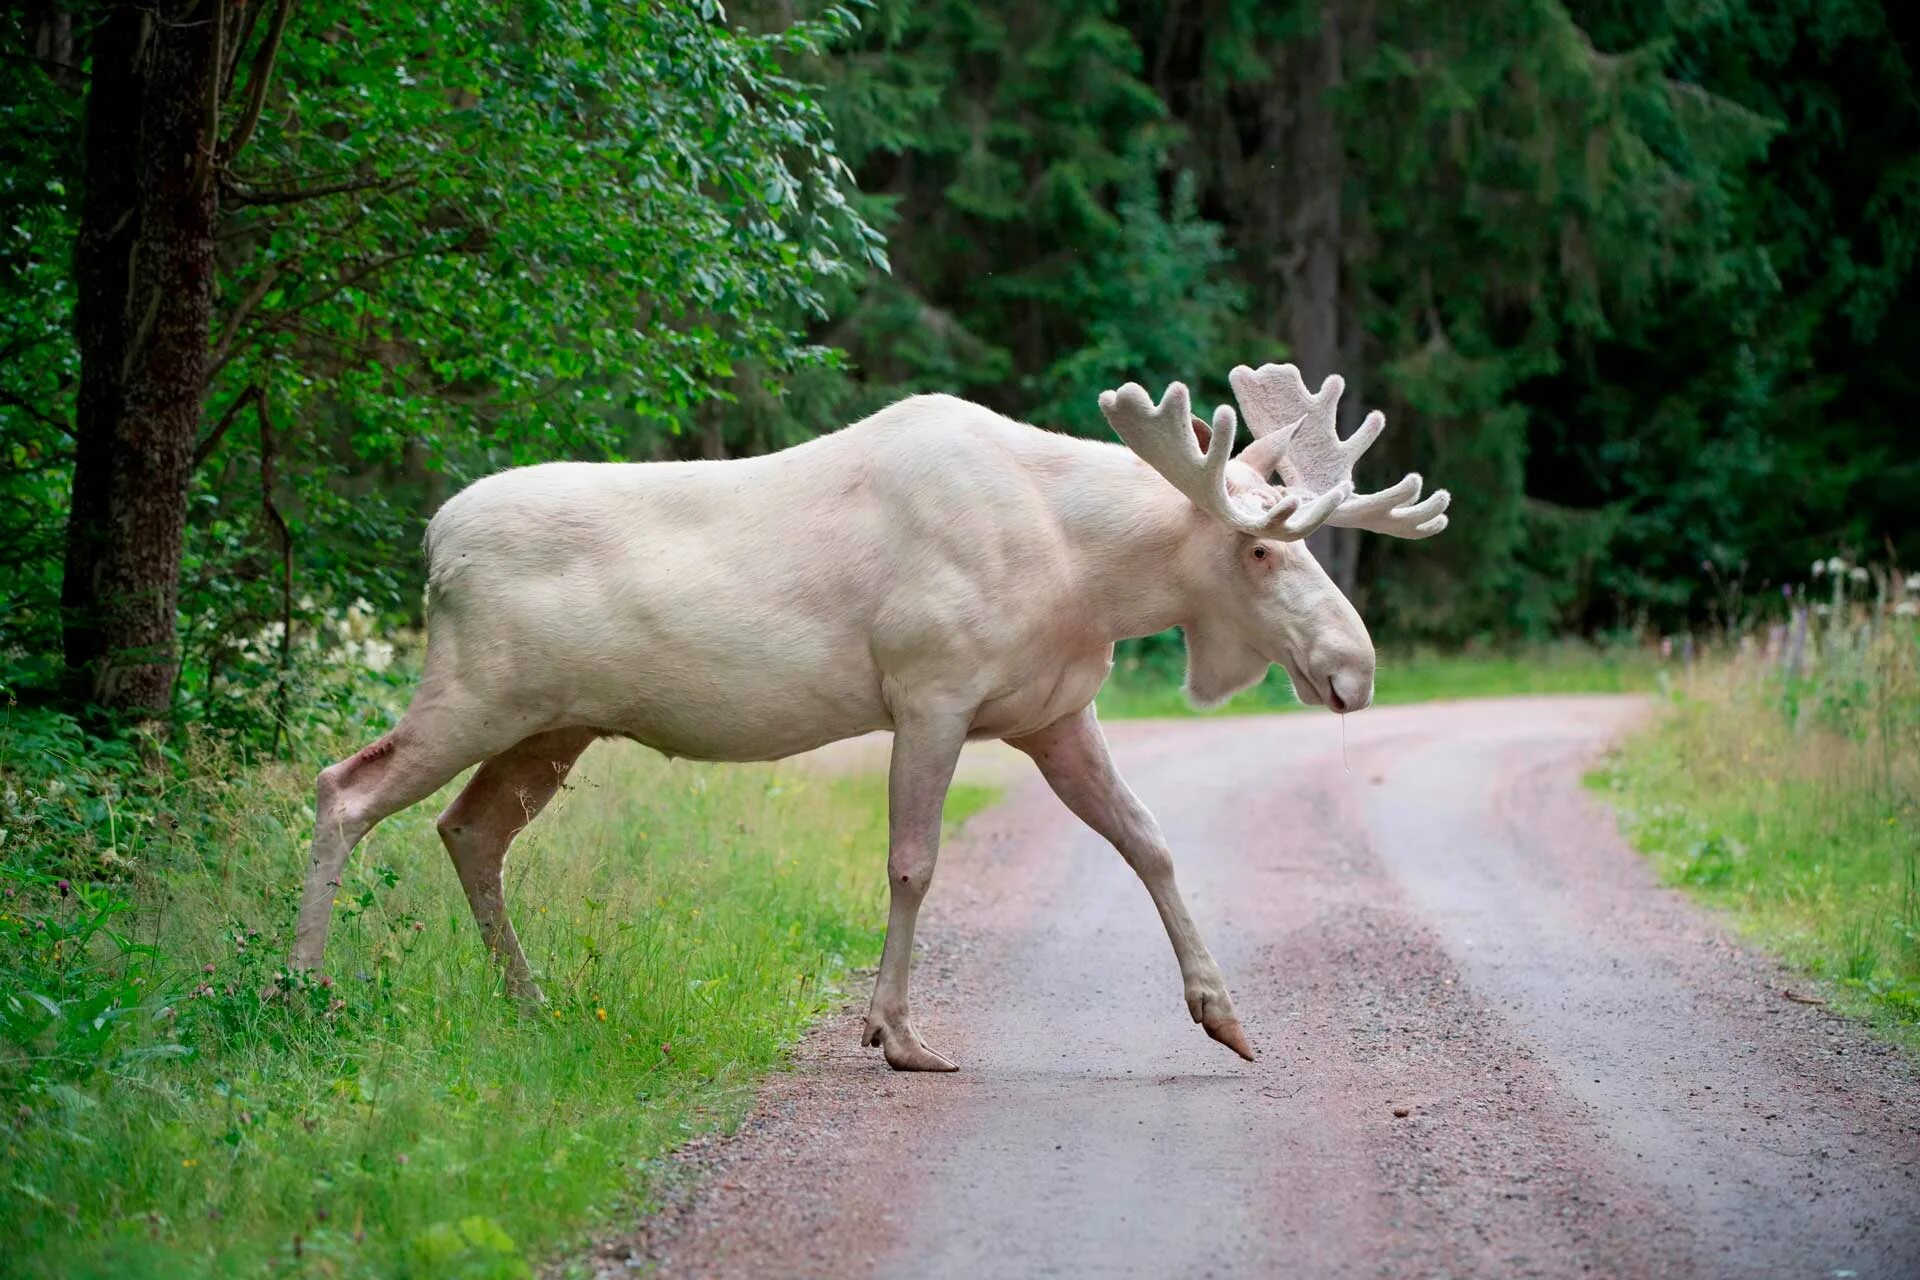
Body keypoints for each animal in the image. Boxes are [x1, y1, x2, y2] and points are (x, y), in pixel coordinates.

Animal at [291, 368, 1443, 1074]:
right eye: (1260, 547)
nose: (1355, 669)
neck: (1086, 573)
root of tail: (433, 542)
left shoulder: (1054, 711)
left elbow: (1150, 840)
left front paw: (1224, 1014)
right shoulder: (930, 690)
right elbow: (912, 862)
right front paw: (896, 1032)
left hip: (551, 725)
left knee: (468, 829)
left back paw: (528, 1003)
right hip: (477, 691)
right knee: (345, 787)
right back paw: (302, 987)